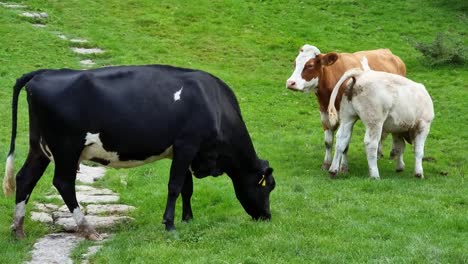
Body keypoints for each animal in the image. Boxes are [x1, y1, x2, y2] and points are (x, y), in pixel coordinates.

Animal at [2, 65, 274, 239]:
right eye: (267, 186)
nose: (267, 217)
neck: (213, 103)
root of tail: (44, 72)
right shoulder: (187, 144)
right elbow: (175, 186)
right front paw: (170, 225)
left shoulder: (183, 151)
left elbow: (187, 188)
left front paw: (187, 219)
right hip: (66, 147)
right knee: (63, 183)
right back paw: (88, 230)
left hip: (39, 147)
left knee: (25, 178)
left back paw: (18, 230)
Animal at [286, 43, 406, 171]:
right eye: (295, 63)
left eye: (310, 65)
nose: (290, 83)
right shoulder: (324, 114)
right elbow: (328, 142)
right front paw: (326, 164)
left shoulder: (348, 118)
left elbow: (345, 144)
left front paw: (343, 167)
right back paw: (380, 153)